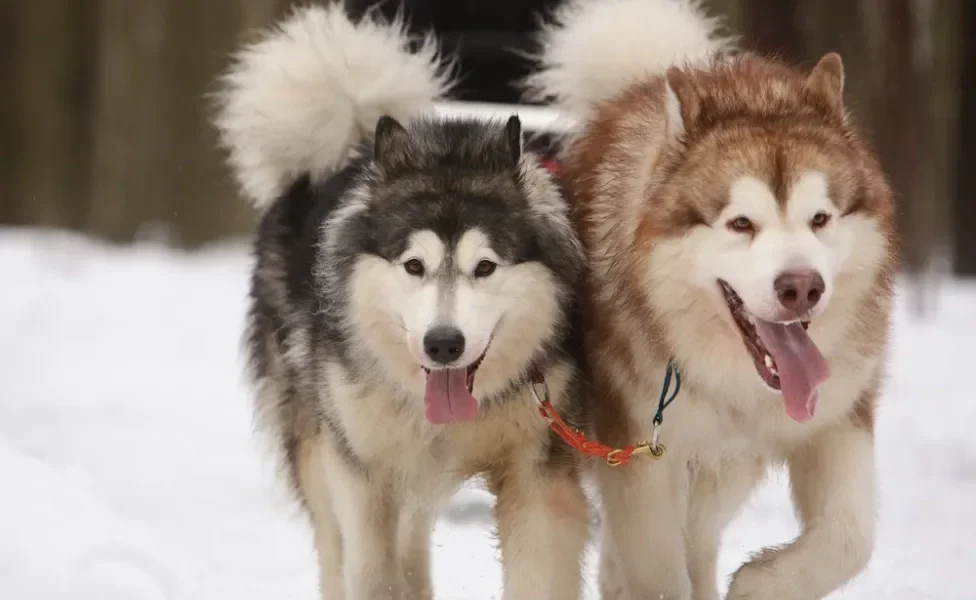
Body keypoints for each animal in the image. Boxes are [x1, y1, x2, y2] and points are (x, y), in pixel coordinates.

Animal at [214, 5, 588, 600]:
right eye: (414, 265)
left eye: (485, 267)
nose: (444, 345)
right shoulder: (363, 472)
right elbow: (369, 569)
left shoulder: (536, 469)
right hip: (318, 442)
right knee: (335, 548)